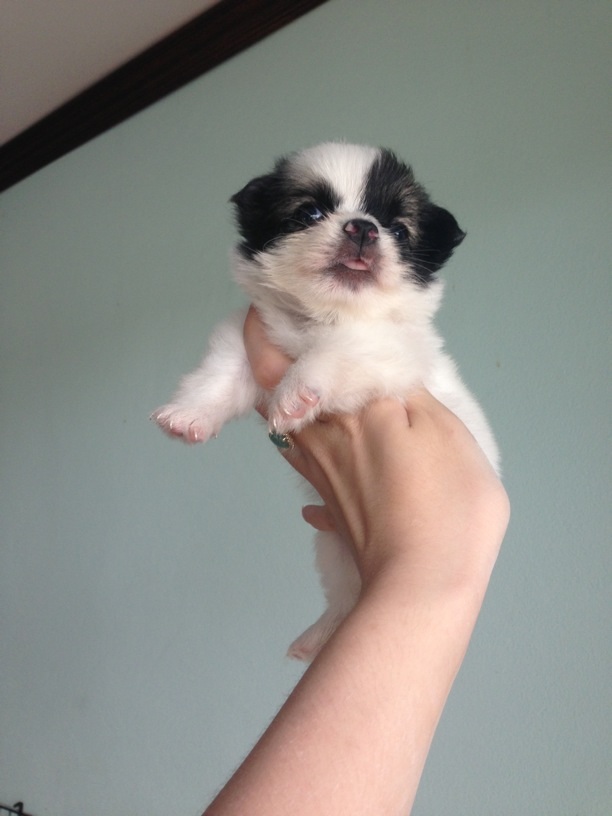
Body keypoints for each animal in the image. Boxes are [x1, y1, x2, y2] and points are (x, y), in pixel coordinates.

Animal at [152, 142, 499, 661]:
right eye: (309, 213)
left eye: (400, 230)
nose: (362, 227)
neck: (325, 316)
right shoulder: (248, 332)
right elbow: (221, 369)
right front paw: (190, 413)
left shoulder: (385, 351)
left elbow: (334, 352)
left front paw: (294, 396)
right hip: (332, 549)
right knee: (343, 602)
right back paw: (317, 638)